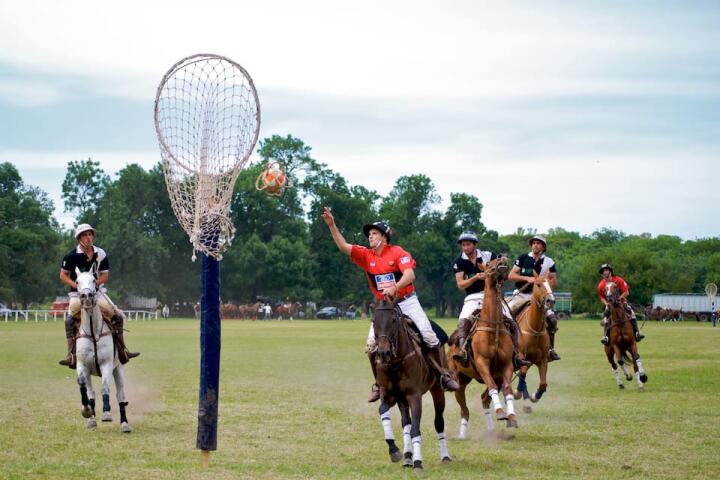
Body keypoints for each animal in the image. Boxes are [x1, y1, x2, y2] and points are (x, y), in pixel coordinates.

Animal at [75, 268, 132, 434]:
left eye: (94, 280)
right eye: (77, 281)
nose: (86, 297)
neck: (93, 332)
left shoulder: (106, 364)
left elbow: (105, 387)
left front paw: (106, 412)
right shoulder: (82, 365)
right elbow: (82, 384)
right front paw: (86, 411)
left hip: (118, 368)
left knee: (121, 395)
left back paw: (124, 424)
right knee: (91, 393)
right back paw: (92, 420)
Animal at [372, 298, 450, 470]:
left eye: (393, 320)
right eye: (373, 320)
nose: (383, 353)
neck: (395, 362)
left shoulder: (414, 396)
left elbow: (416, 429)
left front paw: (418, 462)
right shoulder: (387, 393)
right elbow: (383, 411)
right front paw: (394, 451)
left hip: (437, 390)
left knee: (438, 422)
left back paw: (445, 456)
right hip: (402, 400)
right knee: (405, 423)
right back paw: (407, 457)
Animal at [448, 255, 520, 438]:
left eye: (496, 257)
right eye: (488, 264)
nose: (503, 258)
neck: (493, 326)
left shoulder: (506, 365)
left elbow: (508, 389)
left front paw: (511, 417)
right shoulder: (482, 363)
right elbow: (493, 387)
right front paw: (501, 412)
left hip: (495, 375)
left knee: (484, 399)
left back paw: (491, 428)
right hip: (458, 379)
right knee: (464, 409)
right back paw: (462, 435)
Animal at [510, 272, 556, 414]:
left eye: (550, 283)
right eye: (538, 284)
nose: (550, 300)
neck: (534, 328)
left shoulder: (542, 360)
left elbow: (543, 384)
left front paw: (534, 396)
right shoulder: (521, 356)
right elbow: (522, 376)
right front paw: (517, 393)